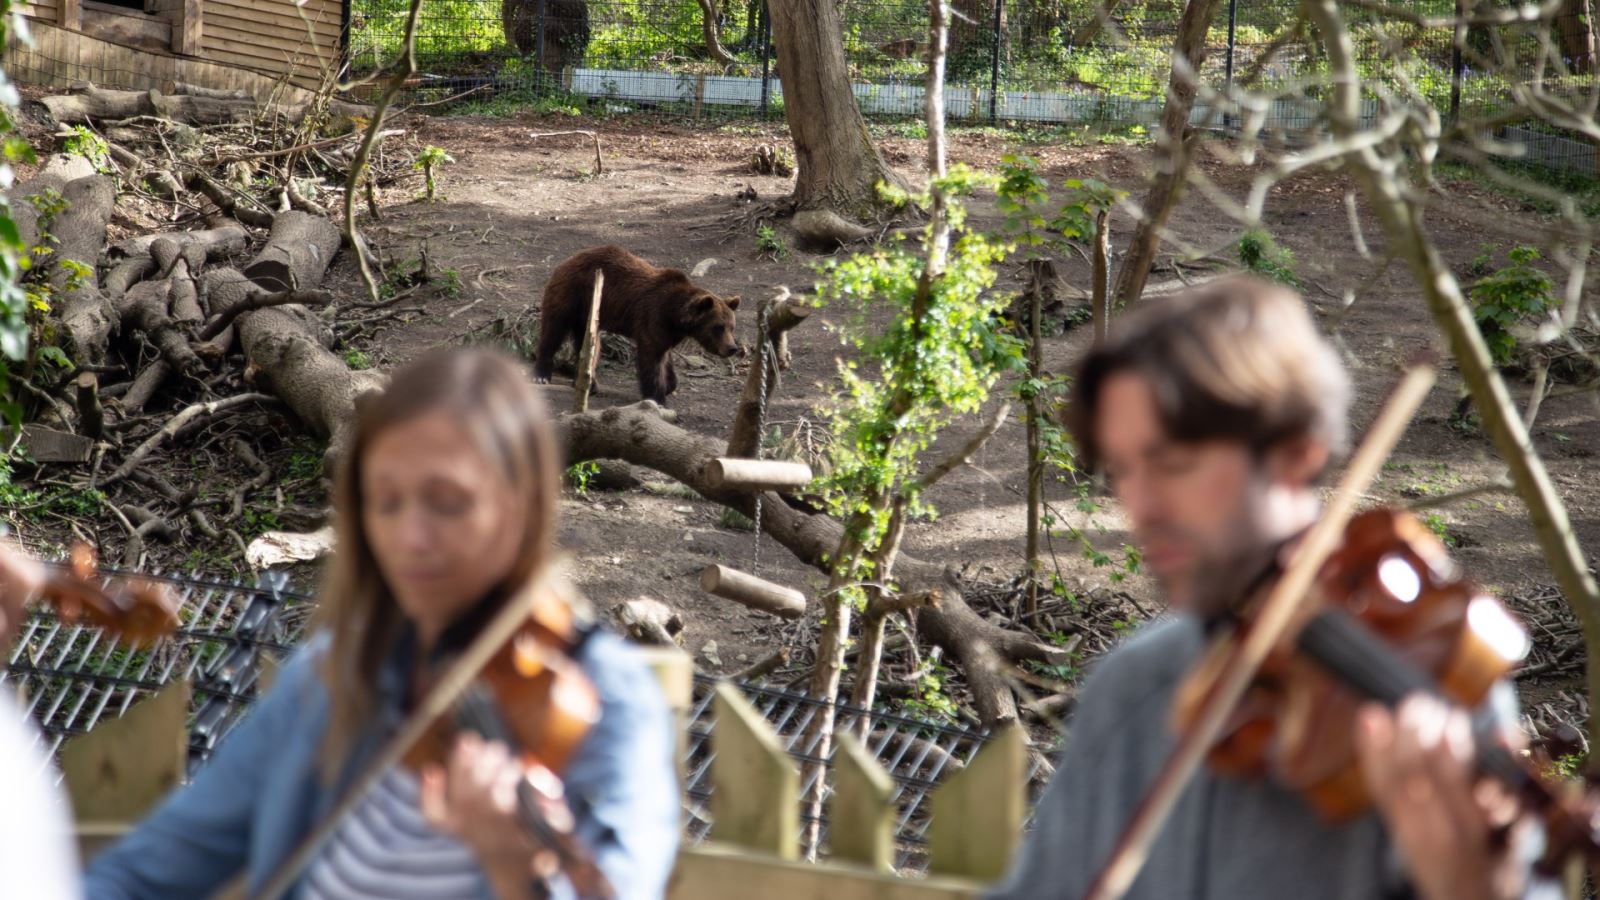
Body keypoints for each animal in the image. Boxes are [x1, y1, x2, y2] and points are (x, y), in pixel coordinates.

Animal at [534, 243, 739, 400]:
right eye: (718, 327)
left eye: (732, 327)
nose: (732, 348)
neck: (674, 315)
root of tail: (568, 260)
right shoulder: (653, 317)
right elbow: (651, 358)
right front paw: (656, 397)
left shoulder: (669, 331)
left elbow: (664, 357)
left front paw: (669, 385)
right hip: (570, 294)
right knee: (553, 330)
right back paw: (542, 375)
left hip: (590, 314)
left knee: (590, 345)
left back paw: (588, 382)